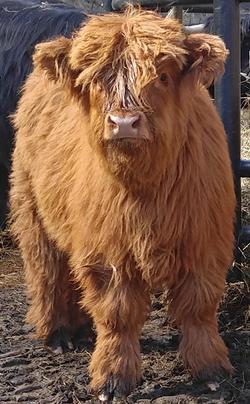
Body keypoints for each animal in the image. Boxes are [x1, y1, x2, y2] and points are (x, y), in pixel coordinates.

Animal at [10, 7, 236, 402]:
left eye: (162, 76)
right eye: (96, 81)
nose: (124, 122)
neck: (145, 187)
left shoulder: (204, 244)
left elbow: (199, 308)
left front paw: (211, 371)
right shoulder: (108, 254)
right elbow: (118, 315)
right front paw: (113, 379)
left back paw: (79, 328)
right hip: (31, 208)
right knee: (46, 270)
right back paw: (57, 334)